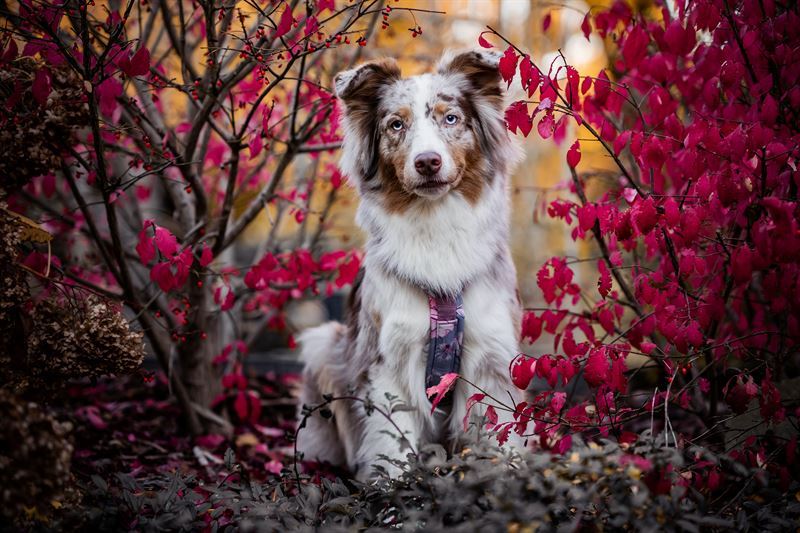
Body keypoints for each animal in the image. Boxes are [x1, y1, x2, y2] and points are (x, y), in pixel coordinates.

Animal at [296, 51, 520, 482]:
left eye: (450, 118)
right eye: (396, 125)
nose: (427, 162)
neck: (435, 224)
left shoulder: (490, 355)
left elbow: (496, 436)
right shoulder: (389, 361)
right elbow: (392, 444)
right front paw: (390, 494)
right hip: (324, 344)